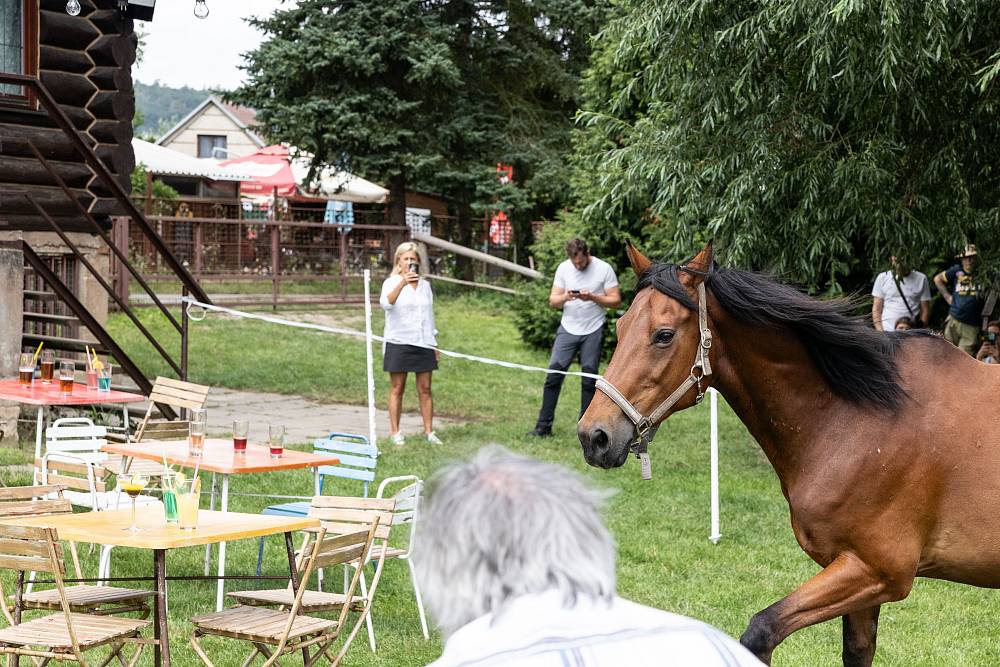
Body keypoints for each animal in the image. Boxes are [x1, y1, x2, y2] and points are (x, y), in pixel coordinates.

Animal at [584, 243, 1000, 667]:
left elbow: (761, 630)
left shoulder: (880, 572)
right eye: (619, 328)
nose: (594, 436)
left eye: (664, 335)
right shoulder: (856, 572)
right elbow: (856, 651)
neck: (861, 417)